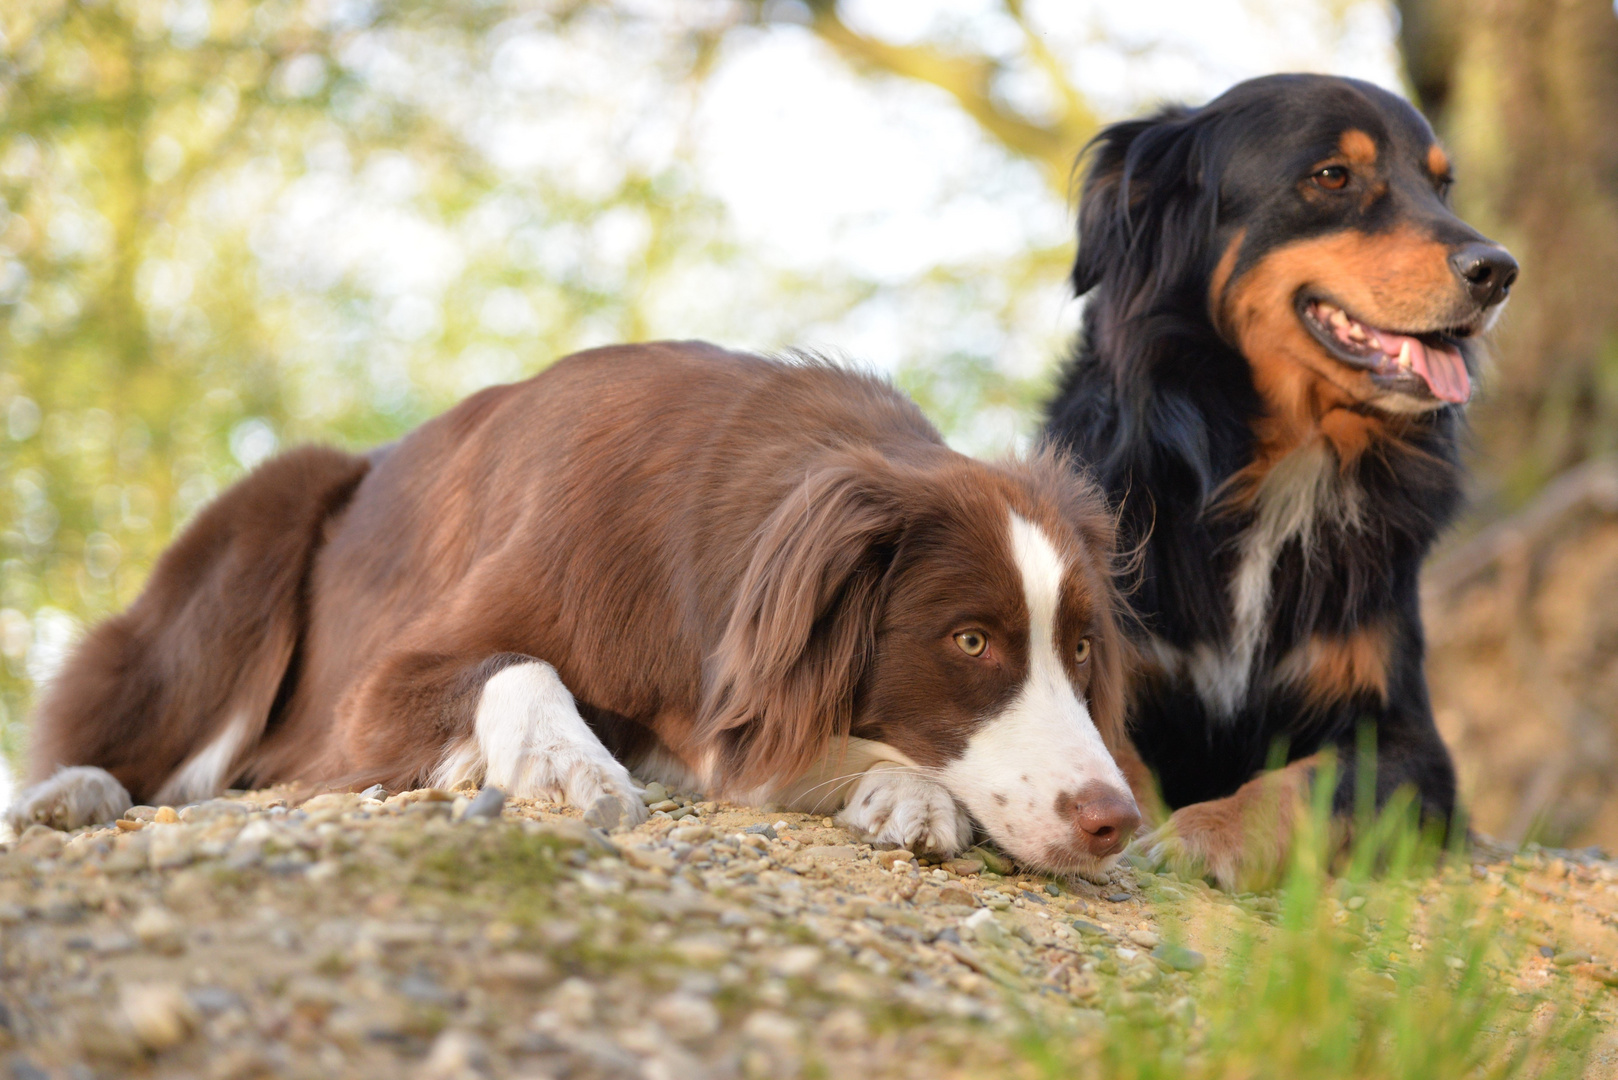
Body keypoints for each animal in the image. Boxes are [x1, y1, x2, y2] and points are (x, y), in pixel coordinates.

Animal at [15, 346, 1152, 880]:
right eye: (971, 640)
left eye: (1078, 649)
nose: (1115, 822)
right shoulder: (380, 686)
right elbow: (520, 667)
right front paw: (565, 766)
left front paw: (908, 794)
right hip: (262, 533)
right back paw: (72, 792)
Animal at [1041, 74, 1520, 887]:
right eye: (1332, 176)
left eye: (1441, 185)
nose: (1498, 271)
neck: (1284, 461)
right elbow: (1116, 754)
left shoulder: (1410, 743)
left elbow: (1312, 781)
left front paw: (1208, 832)